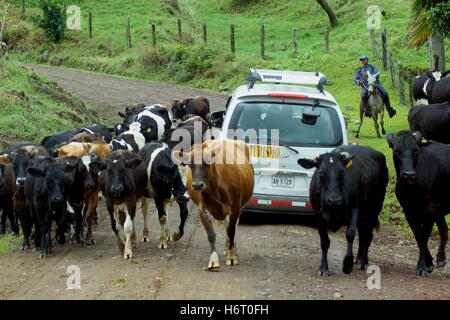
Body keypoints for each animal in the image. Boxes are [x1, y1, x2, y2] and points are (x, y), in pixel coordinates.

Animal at [175, 139, 253, 268]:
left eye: (207, 163)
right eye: (190, 164)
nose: (197, 185)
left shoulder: (235, 208)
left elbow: (231, 231)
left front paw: (232, 257)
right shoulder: (202, 209)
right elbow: (211, 234)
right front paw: (213, 260)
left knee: (231, 227)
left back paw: (231, 248)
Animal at [298, 146, 388, 276]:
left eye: (342, 172)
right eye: (321, 173)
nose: (334, 200)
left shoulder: (355, 210)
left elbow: (350, 235)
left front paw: (347, 264)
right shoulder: (318, 214)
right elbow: (324, 241)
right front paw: (323, 268)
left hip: (374, 209)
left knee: (368, 235)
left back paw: (363, 261)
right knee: (363, 233)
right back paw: (359, 259)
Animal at [386, 130, 450, 276]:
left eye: (415, 150)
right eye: (396, 151)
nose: (409, 174)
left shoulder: (430, 210)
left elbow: (423, 238)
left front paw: (421, 267)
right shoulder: (409, 211)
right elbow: (418, 236)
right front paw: (429, 263)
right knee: (444, 230)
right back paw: (440, 259)